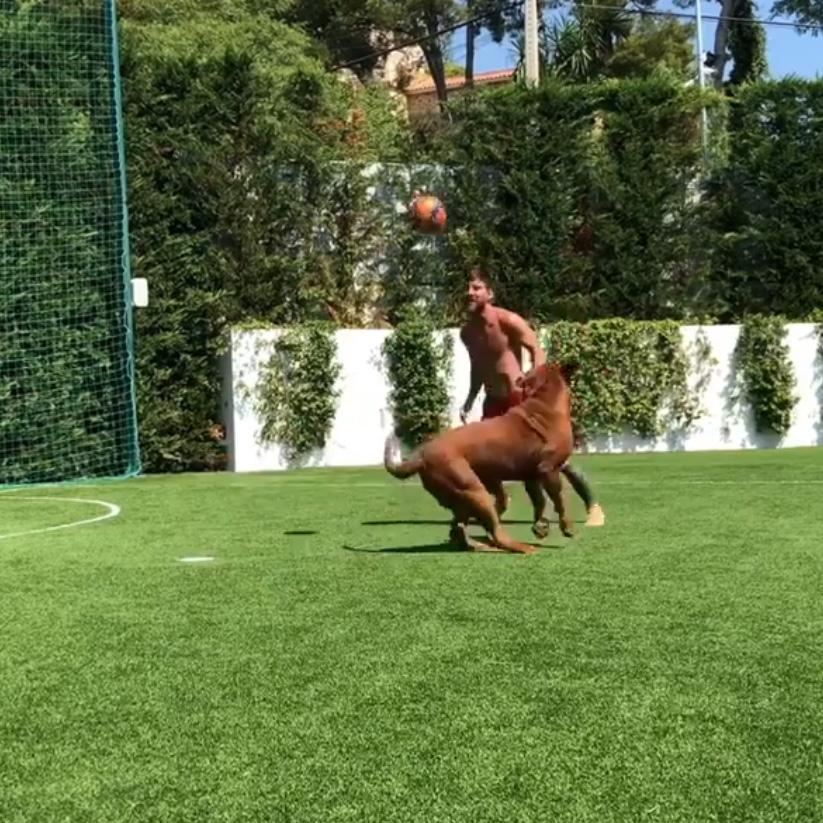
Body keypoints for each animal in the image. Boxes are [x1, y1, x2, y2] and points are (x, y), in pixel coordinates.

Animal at [384, 364, 572, 556]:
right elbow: (560, 501)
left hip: (471, 492)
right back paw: (519, 547)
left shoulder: (531, 476)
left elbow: (540, 502)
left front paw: (541, 526)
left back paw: (477, 544)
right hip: (475, 490)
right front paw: (566, 527)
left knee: (461, 526)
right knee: (496, 531)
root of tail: (421, 457)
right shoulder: (549, 470)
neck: (544, 402)